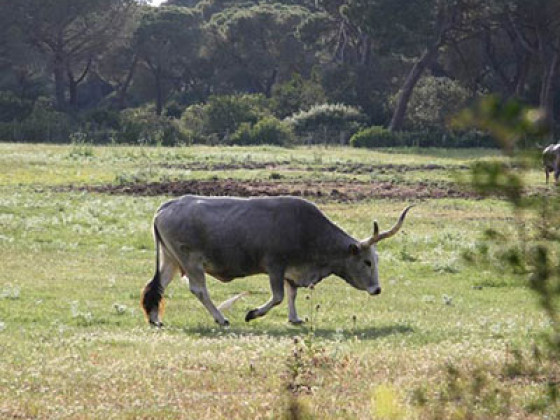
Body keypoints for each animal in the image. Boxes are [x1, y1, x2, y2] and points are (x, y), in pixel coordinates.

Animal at [140, 195, 412, 326]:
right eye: (367, 262)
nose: (377, 289)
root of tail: (166, 206)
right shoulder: (275, 266)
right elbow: (279, 296)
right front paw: (252, 313)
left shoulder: (291, 270)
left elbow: (292, 294)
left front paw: (295, 318)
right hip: (191, 261)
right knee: (199, 289)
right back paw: (221, 318)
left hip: (170, 259)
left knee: (158, 286)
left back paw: (155, 318)